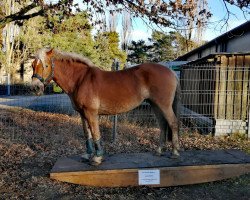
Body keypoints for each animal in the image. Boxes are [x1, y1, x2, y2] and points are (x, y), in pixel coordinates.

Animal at [31, 48, 181, 166]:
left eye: (45, 65)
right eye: (32, 65)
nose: (35, 87)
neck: (80, 79)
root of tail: (171, 72)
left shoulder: (91, 113)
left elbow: (96, 133)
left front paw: (97, 158)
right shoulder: (82, 114)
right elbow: (87, 134)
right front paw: (88, 155)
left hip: (164, 105)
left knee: (173, 123)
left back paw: (175, 152)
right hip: (155, 104)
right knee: (163, 125)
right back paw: (159, 151)